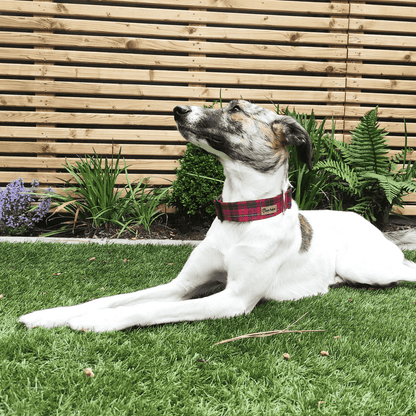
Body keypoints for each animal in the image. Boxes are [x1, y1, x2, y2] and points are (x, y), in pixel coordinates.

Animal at [18, 100, 416, 332]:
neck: (241, 215)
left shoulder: (233, 299)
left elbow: (149, 309)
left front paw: (98, 320)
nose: (178, 109)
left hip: (366, 266)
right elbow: (118, 297)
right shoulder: (183, 285)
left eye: (236, 108)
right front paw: (53, 313)